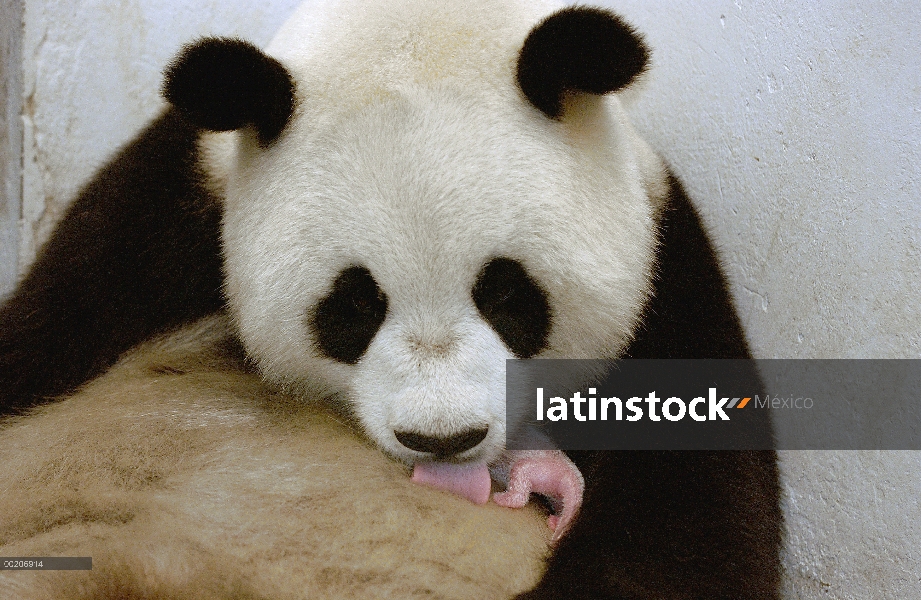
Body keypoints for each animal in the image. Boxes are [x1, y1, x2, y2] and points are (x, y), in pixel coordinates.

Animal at [0, 1, 776, 600]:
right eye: (352, 309)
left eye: (508, 295)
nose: (444, 440)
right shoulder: (159, 217)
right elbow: (43, 332)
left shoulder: (665, 279)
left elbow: (689, 519)